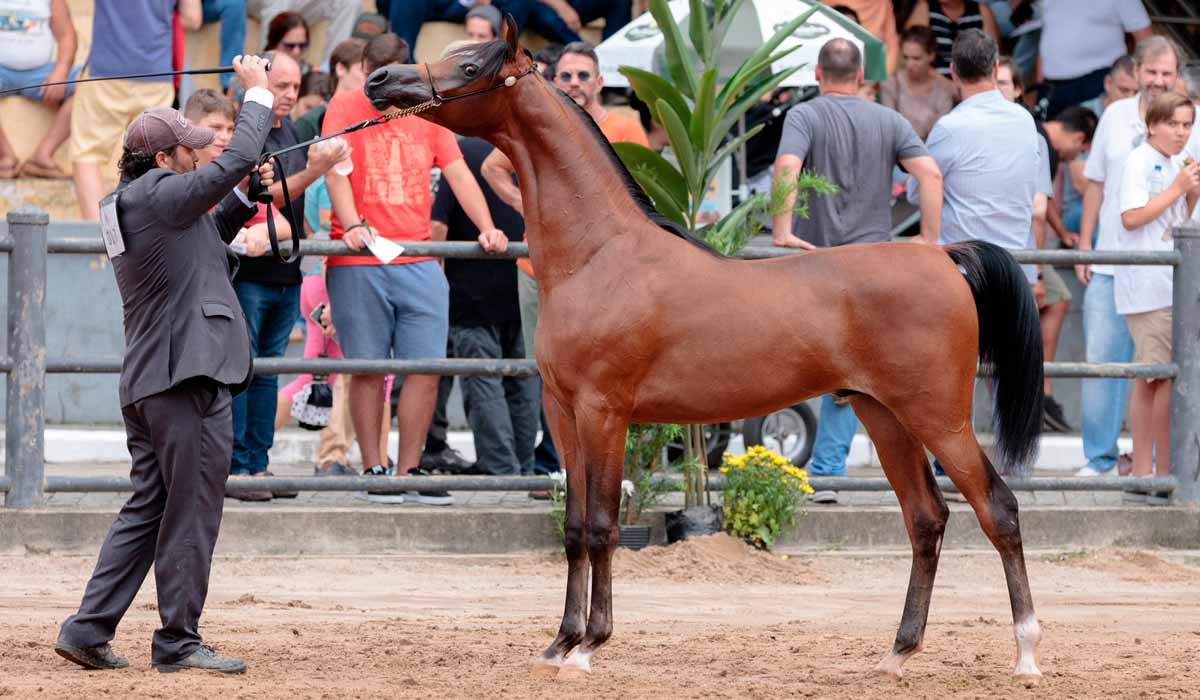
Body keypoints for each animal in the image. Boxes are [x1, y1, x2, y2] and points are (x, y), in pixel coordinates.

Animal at [362, 17, 1041, 686]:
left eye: (470, 65)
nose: (380, 79)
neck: (599, 254)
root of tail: (944, 257)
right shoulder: (563, 412)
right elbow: (575, 528)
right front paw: (560, 643)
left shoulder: (605, 412)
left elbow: (604, 525)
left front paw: (590, 644)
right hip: (885, 416)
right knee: (926, 519)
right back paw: (899, 651)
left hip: (939, 418)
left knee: (999, 509)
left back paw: (1026, 654)